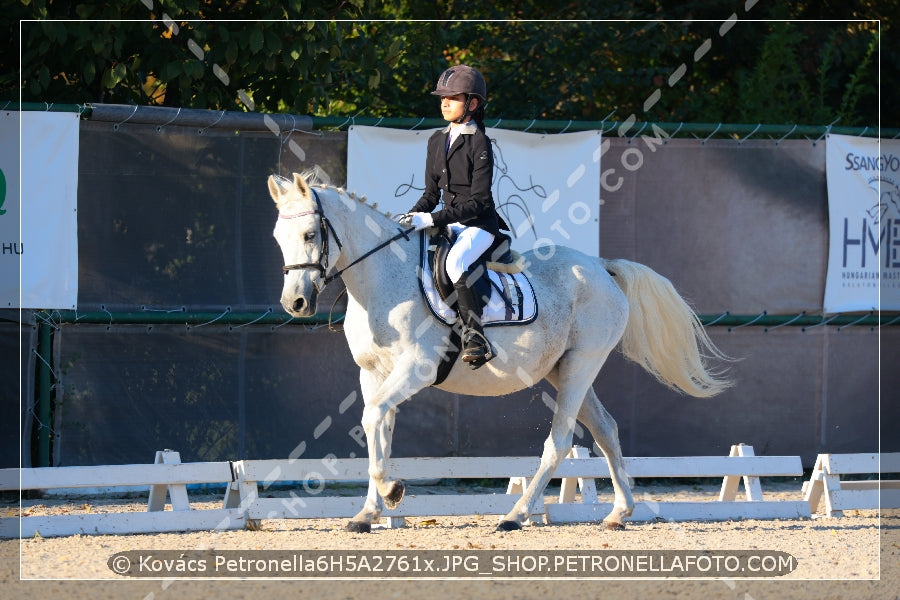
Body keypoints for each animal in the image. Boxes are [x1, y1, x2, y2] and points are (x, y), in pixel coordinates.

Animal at [268, 171, 732, 532]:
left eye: (310, 234)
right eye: (278, 238)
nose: (295, 303)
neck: (383, 277)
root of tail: (602, 267)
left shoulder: (416, 368)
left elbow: (373, 417)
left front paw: (392, 491)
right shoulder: (373, 374)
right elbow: (376, 429)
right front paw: (368, 512)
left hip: (582, 365)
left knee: (560, 441)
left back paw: (516, 514)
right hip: (563, 370)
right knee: (606, 429)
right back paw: (619, 512)